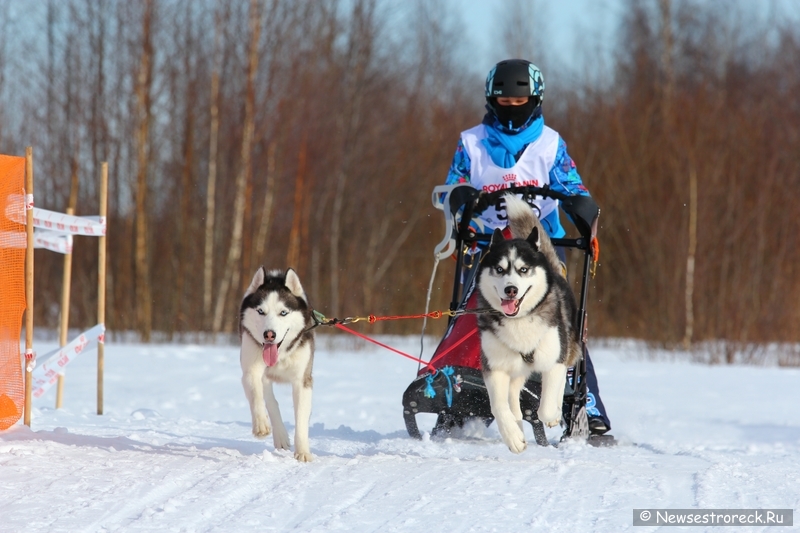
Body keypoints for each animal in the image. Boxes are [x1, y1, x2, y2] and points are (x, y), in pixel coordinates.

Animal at [239, 268, 314, 460]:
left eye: (283, 312)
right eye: (260, 311)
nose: (269, 334)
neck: (280, 355)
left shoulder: (302, 380)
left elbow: (301, 419)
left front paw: (303, 452)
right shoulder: (251, 370)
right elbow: (257, 396)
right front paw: (261, 425)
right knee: (270, 401)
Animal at [476, 195, 580, 454]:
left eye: (523, 269)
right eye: (500, 269)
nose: (511, 290)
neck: (519, 321)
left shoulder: (554, 360)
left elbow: (546, 406)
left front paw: (552, 414)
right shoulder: (495, 367)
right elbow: (498, 406)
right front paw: (513, 435)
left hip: (569, 346)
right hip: (515, 368)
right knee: (513, 394)